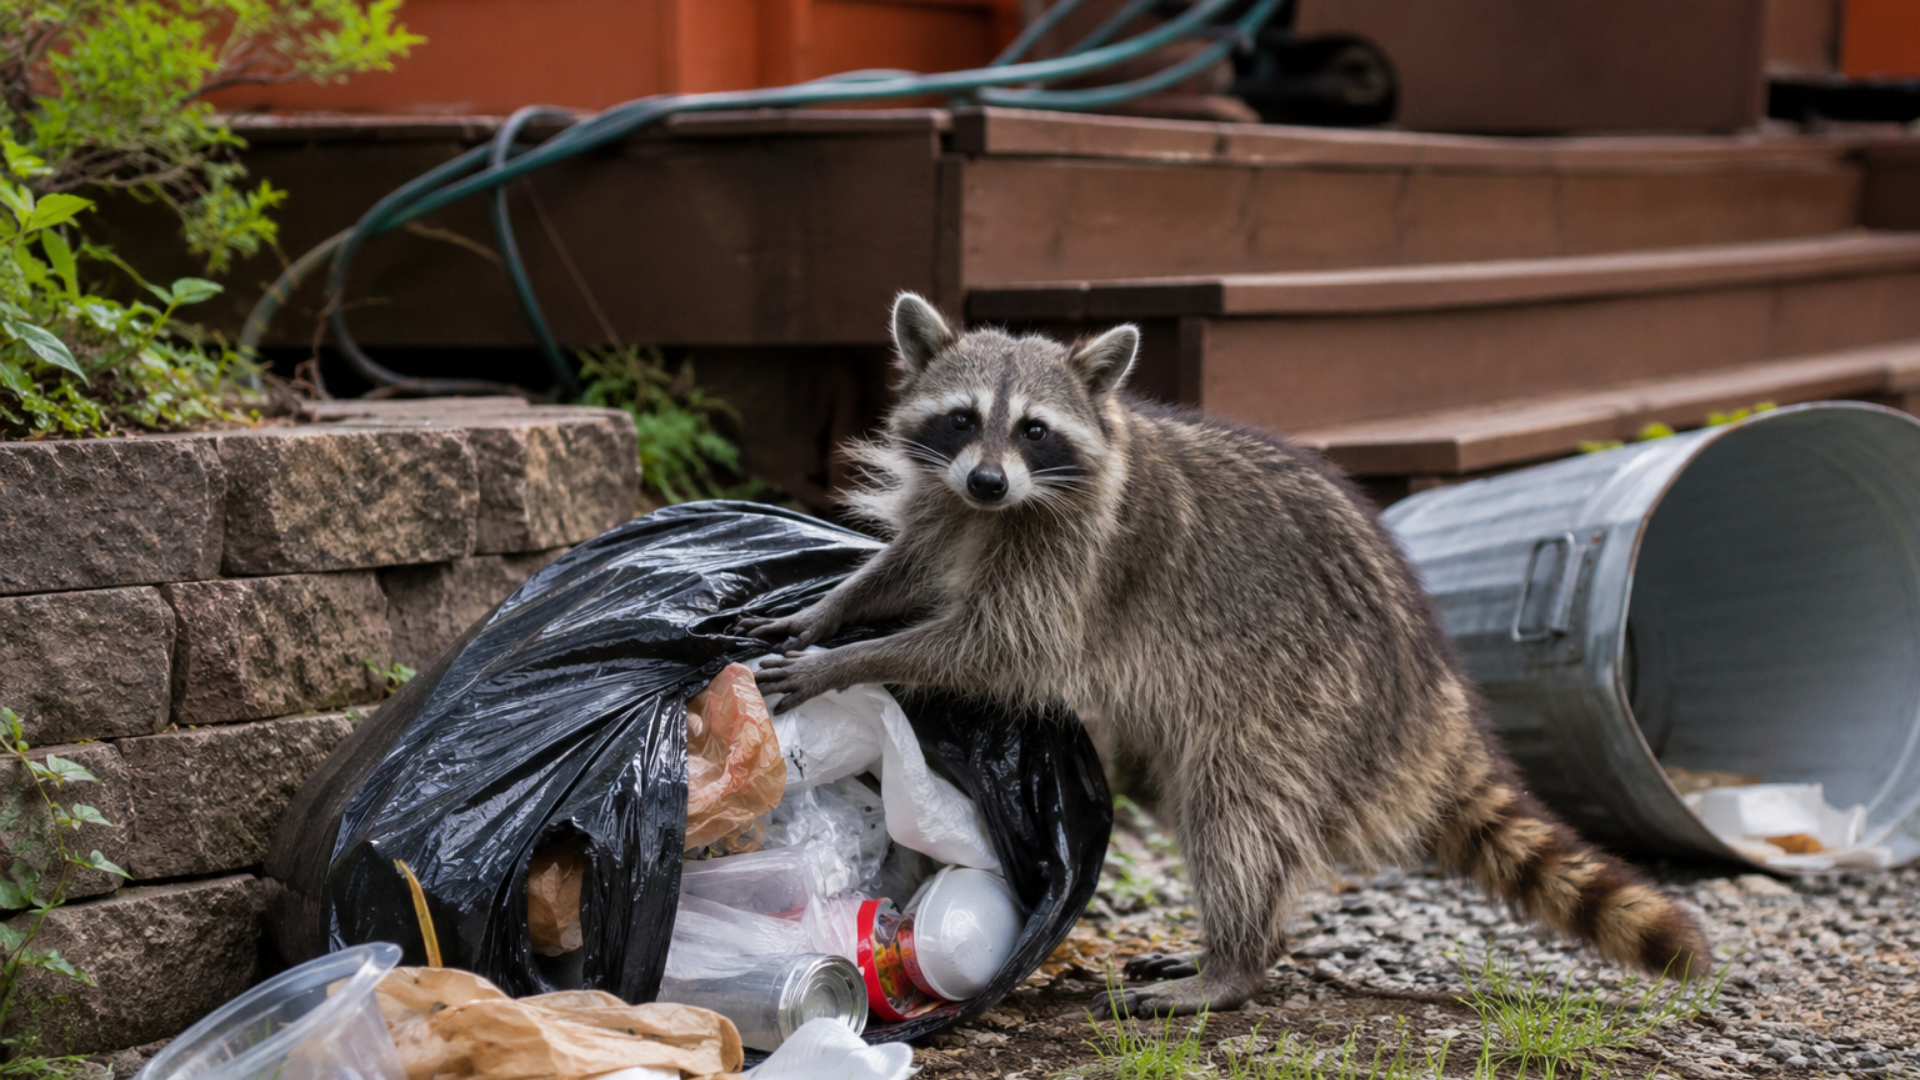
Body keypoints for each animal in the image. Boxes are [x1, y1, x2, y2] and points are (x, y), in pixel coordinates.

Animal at [747, 293, 1709, 1016]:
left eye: (1034, 431)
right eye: (961, 420)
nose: (988, 480)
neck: (999, 509)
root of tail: (1429, 677)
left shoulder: (1072, 560)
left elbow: (1002, 652)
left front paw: (855, 661)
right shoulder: (948, 506)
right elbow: (910, 562)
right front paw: (835, 608)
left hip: (1302, 696)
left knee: (1234, 814)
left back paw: (1237, 961)